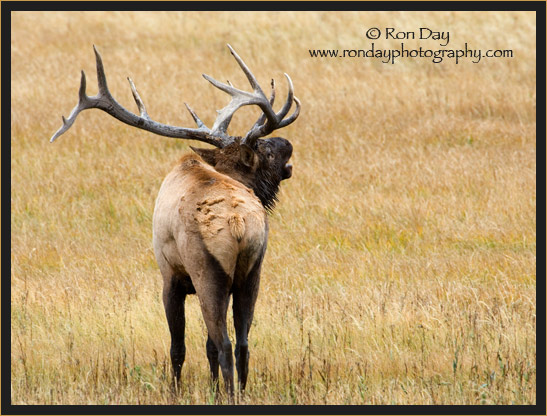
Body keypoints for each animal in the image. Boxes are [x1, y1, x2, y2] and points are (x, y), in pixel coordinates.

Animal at [49, 45, 300, 396]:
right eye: (266, 150)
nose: (287, 143)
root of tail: (238, 223)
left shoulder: (169, 276)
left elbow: (177, 347)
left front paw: (175, 391)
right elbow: (204, 347)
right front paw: (209, 389)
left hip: (208, 272)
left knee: (224, 344)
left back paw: (229, 395)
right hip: (252, 272)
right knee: (241, 344)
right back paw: (238, 392)